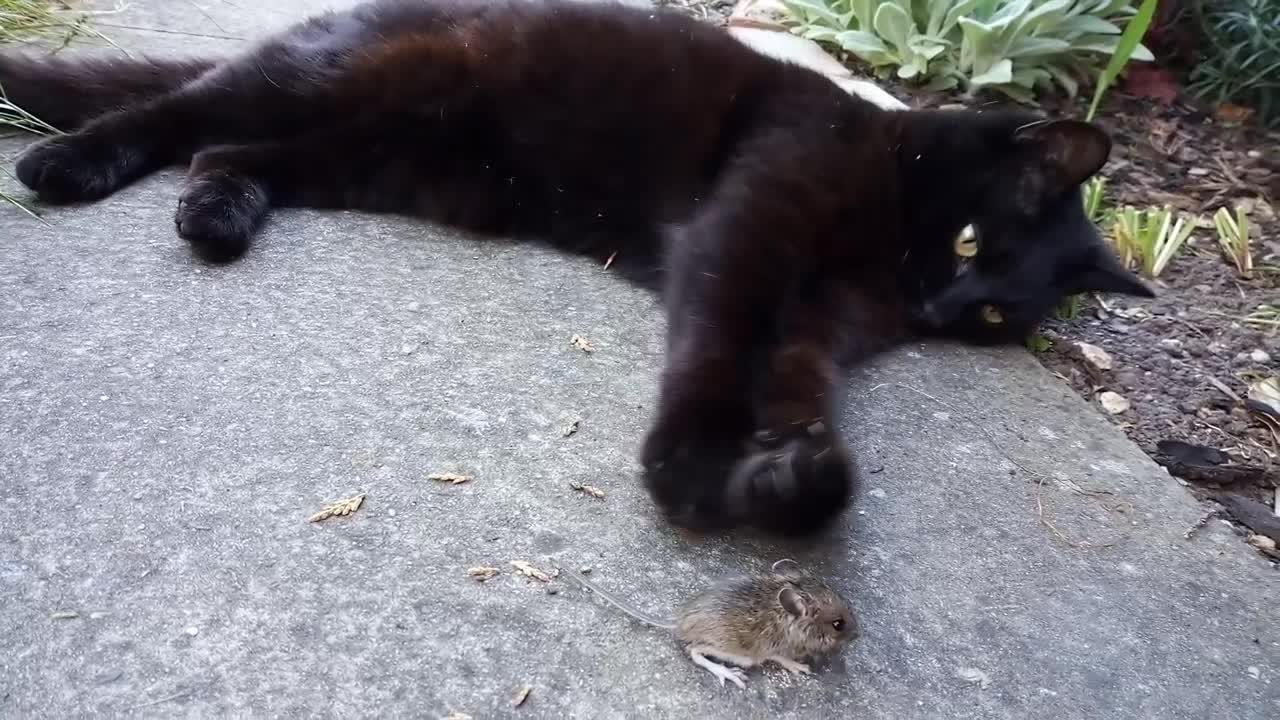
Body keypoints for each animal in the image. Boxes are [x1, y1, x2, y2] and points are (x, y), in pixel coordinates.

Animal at [0, 0, 1157, 532]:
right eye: (970, 245)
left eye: (999, 317)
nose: (947, 300)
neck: (886, 217)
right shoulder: (751, 231)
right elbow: (717, 354)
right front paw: (694, 471)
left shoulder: (819, 320)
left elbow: (792, 386)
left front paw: (788, 474)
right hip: (337, 83)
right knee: (177, 112)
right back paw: (67, 163)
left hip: (379, 153)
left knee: (228, 153)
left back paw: (216, 217)